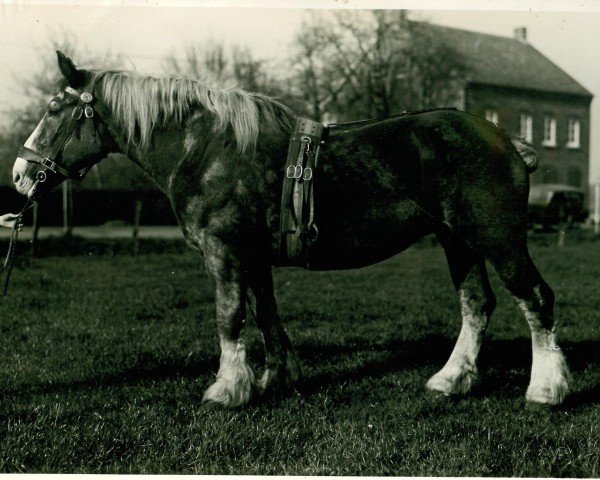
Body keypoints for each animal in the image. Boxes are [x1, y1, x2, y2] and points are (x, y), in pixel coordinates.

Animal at [11, 53, 568, 408]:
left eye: (55, 109)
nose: (20, 173)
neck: (206, 148)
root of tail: (504, 138)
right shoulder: (254, 256)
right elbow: (265, 314)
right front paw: (276, 377)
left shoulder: (225, 252)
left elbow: (230, 316)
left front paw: (227, 389)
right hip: (459, 241)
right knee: (476, 304)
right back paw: (452, 379)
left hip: (497, 238)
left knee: (536, 298)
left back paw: (546, 388)